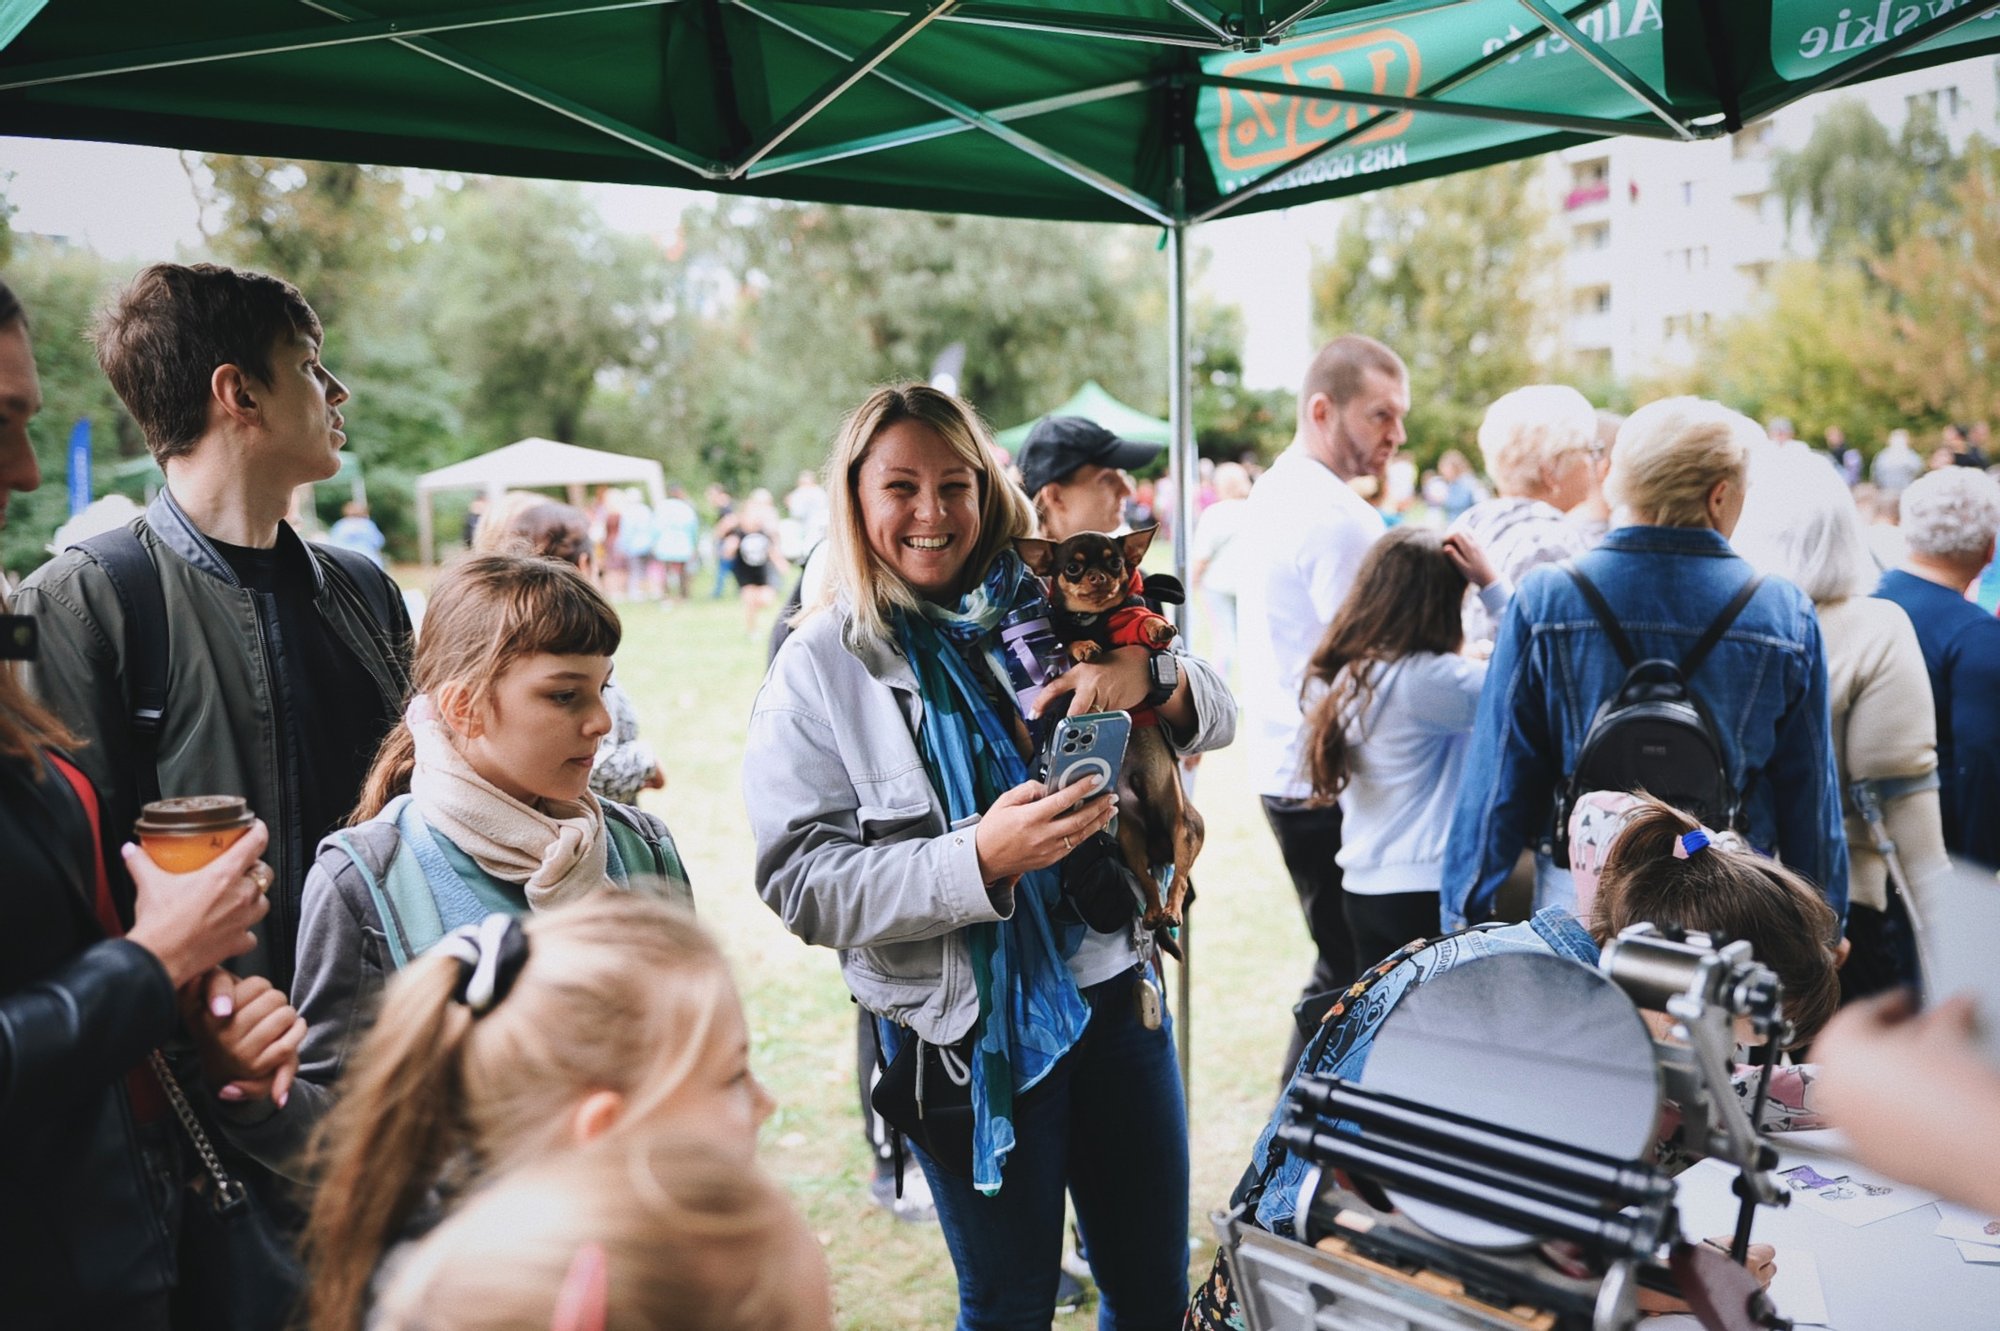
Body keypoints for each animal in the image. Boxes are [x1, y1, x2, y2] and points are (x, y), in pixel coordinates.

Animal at [1016, 523, 1200, 927]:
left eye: (1115, 562)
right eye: (1072, 568)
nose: (1100, 576)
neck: (1094, 619)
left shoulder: (1129, 618)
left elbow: (1143, 621)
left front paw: (1158, 629)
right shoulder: (1061, 636)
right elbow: (1071, 643)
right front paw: (1086, 646)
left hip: (1186, 829)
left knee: (1178, 879)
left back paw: (1171, 911)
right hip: (1131, 842)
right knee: (1147, 881)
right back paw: (1152, 913)